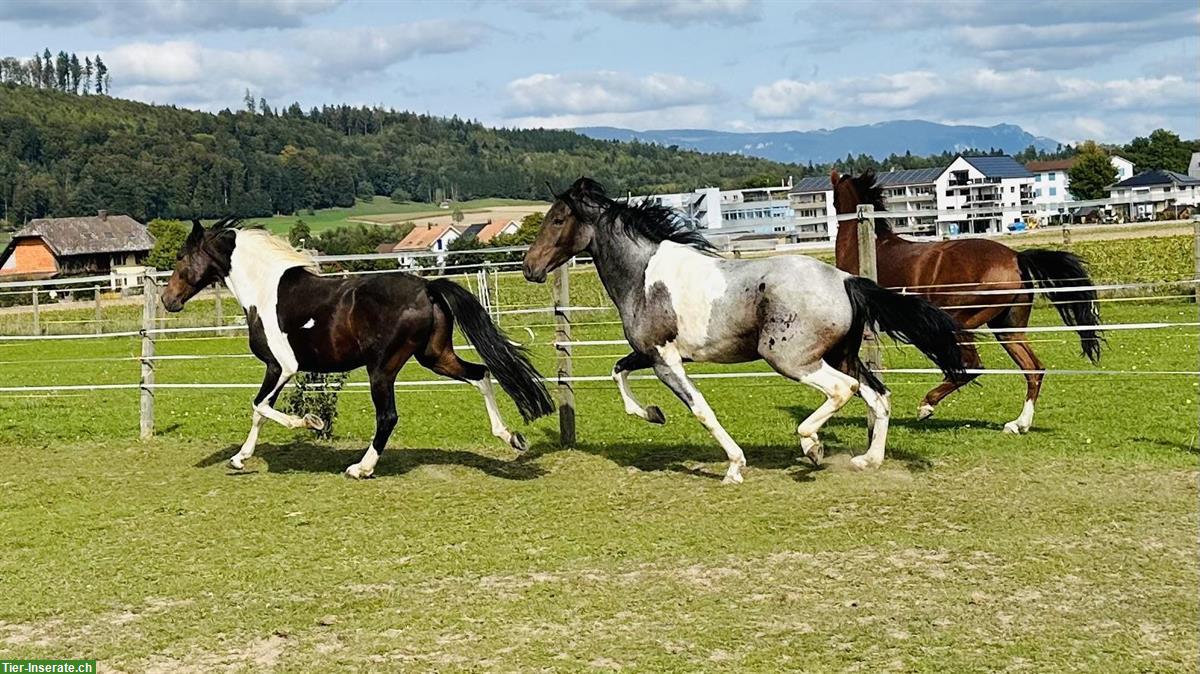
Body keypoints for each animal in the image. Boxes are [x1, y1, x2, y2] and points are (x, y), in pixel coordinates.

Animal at [160, 218, 552, 474]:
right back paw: (511, 437)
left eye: (181, 257)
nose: (168, 300)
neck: (264, 290)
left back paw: (361, 467)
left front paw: (312, 422)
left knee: (388, 416)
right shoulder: (280, 370)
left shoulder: (281, 366)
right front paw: (240, 458)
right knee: (481, 374)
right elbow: (259, 411)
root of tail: (427, 287)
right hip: (434, 356)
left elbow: (260, 406)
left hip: (382, 368)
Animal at [523, 177, 964, 482]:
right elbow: (617, 370)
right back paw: (867, 460)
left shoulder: (665, 361)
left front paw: (734, 467)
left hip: (790, 358)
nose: (529, 267)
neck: (643, 276)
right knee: (878, 396)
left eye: (558, 219)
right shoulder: (651, 352)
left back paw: (812, 446)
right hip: (842, 354)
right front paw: (652, 414)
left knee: (845, 390)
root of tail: (846, 281)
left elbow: (700, 409)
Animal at [830, 167, 1099, 429]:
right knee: (1034, 369)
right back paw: (1019, 424)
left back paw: (927, 405)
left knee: (972, 366)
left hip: (959, 321)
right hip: (1007, 329)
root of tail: (1015, 257)